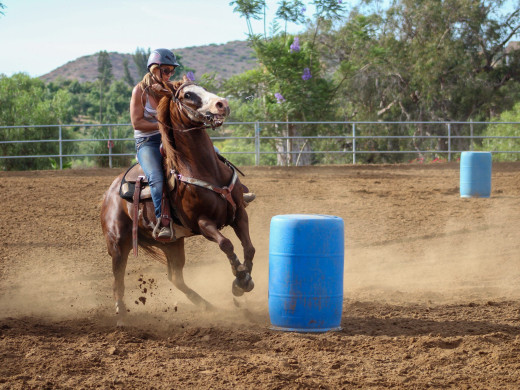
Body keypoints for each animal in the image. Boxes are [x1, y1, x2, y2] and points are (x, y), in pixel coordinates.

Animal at [99, 75, 254, 316]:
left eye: (203, 88)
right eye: (187, 95)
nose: (223, 104)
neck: (205, 169)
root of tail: (109, 194)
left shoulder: (238, 214)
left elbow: (249, 247)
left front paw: (245, 277)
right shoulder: (202, 223)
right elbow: (226, 244)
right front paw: (239, 278)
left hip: (171, 244)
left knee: (175, 277)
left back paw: (207, 305)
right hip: (117, 243)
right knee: (118, 280)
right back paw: (121, 313)